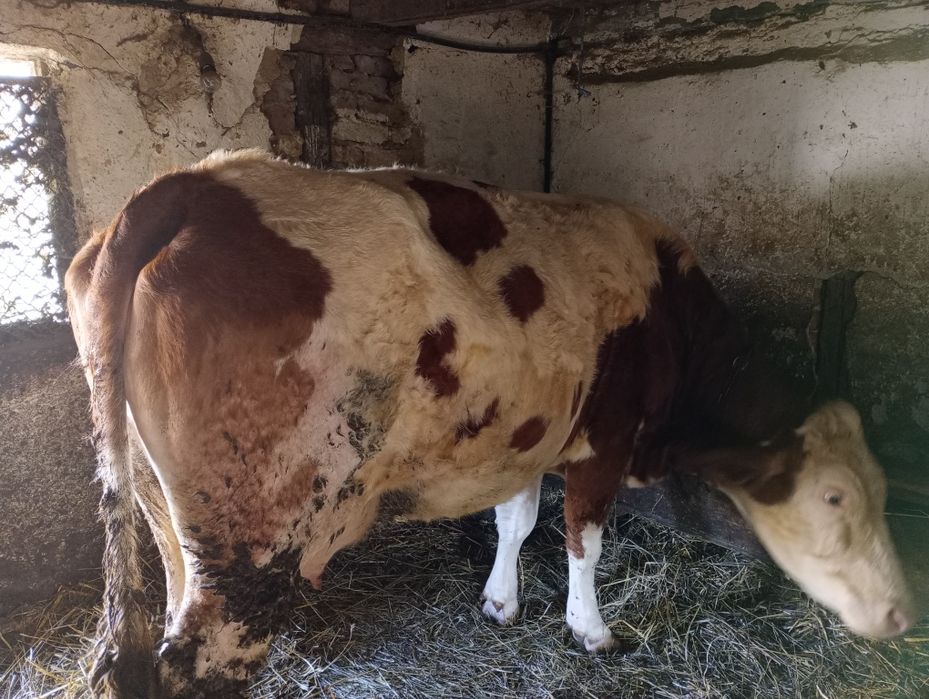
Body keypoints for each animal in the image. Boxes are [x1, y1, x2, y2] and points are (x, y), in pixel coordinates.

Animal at [65, 149, 915, 698]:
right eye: (835, 496)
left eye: (884, 488)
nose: (902, 612)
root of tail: (192, 183)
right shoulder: (603, 438)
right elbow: (581, 538)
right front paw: (590, 630)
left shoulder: (526, 433)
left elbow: (517, 518)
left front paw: (501, 601)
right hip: (256, 538)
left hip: (165, 512)